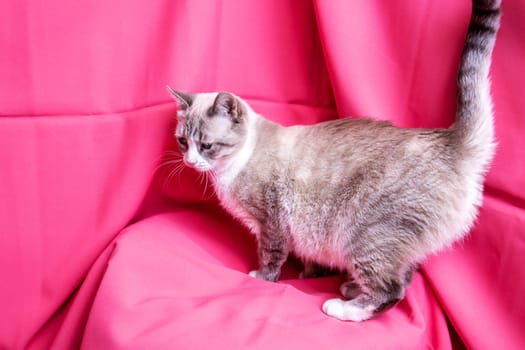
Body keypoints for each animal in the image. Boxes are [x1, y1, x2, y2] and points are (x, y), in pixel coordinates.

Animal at [166, 0, 502, 322]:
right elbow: (309, 259)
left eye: (206, 146)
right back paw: (351, 287)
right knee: (405, 275)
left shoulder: (271, 223)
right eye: (183, 141)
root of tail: (449, 139)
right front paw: (310, 273)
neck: (233, 165)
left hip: (366, 235)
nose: (190, 161)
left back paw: (344, 308)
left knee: (392, 289)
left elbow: (270, 258)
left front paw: (262, 278)